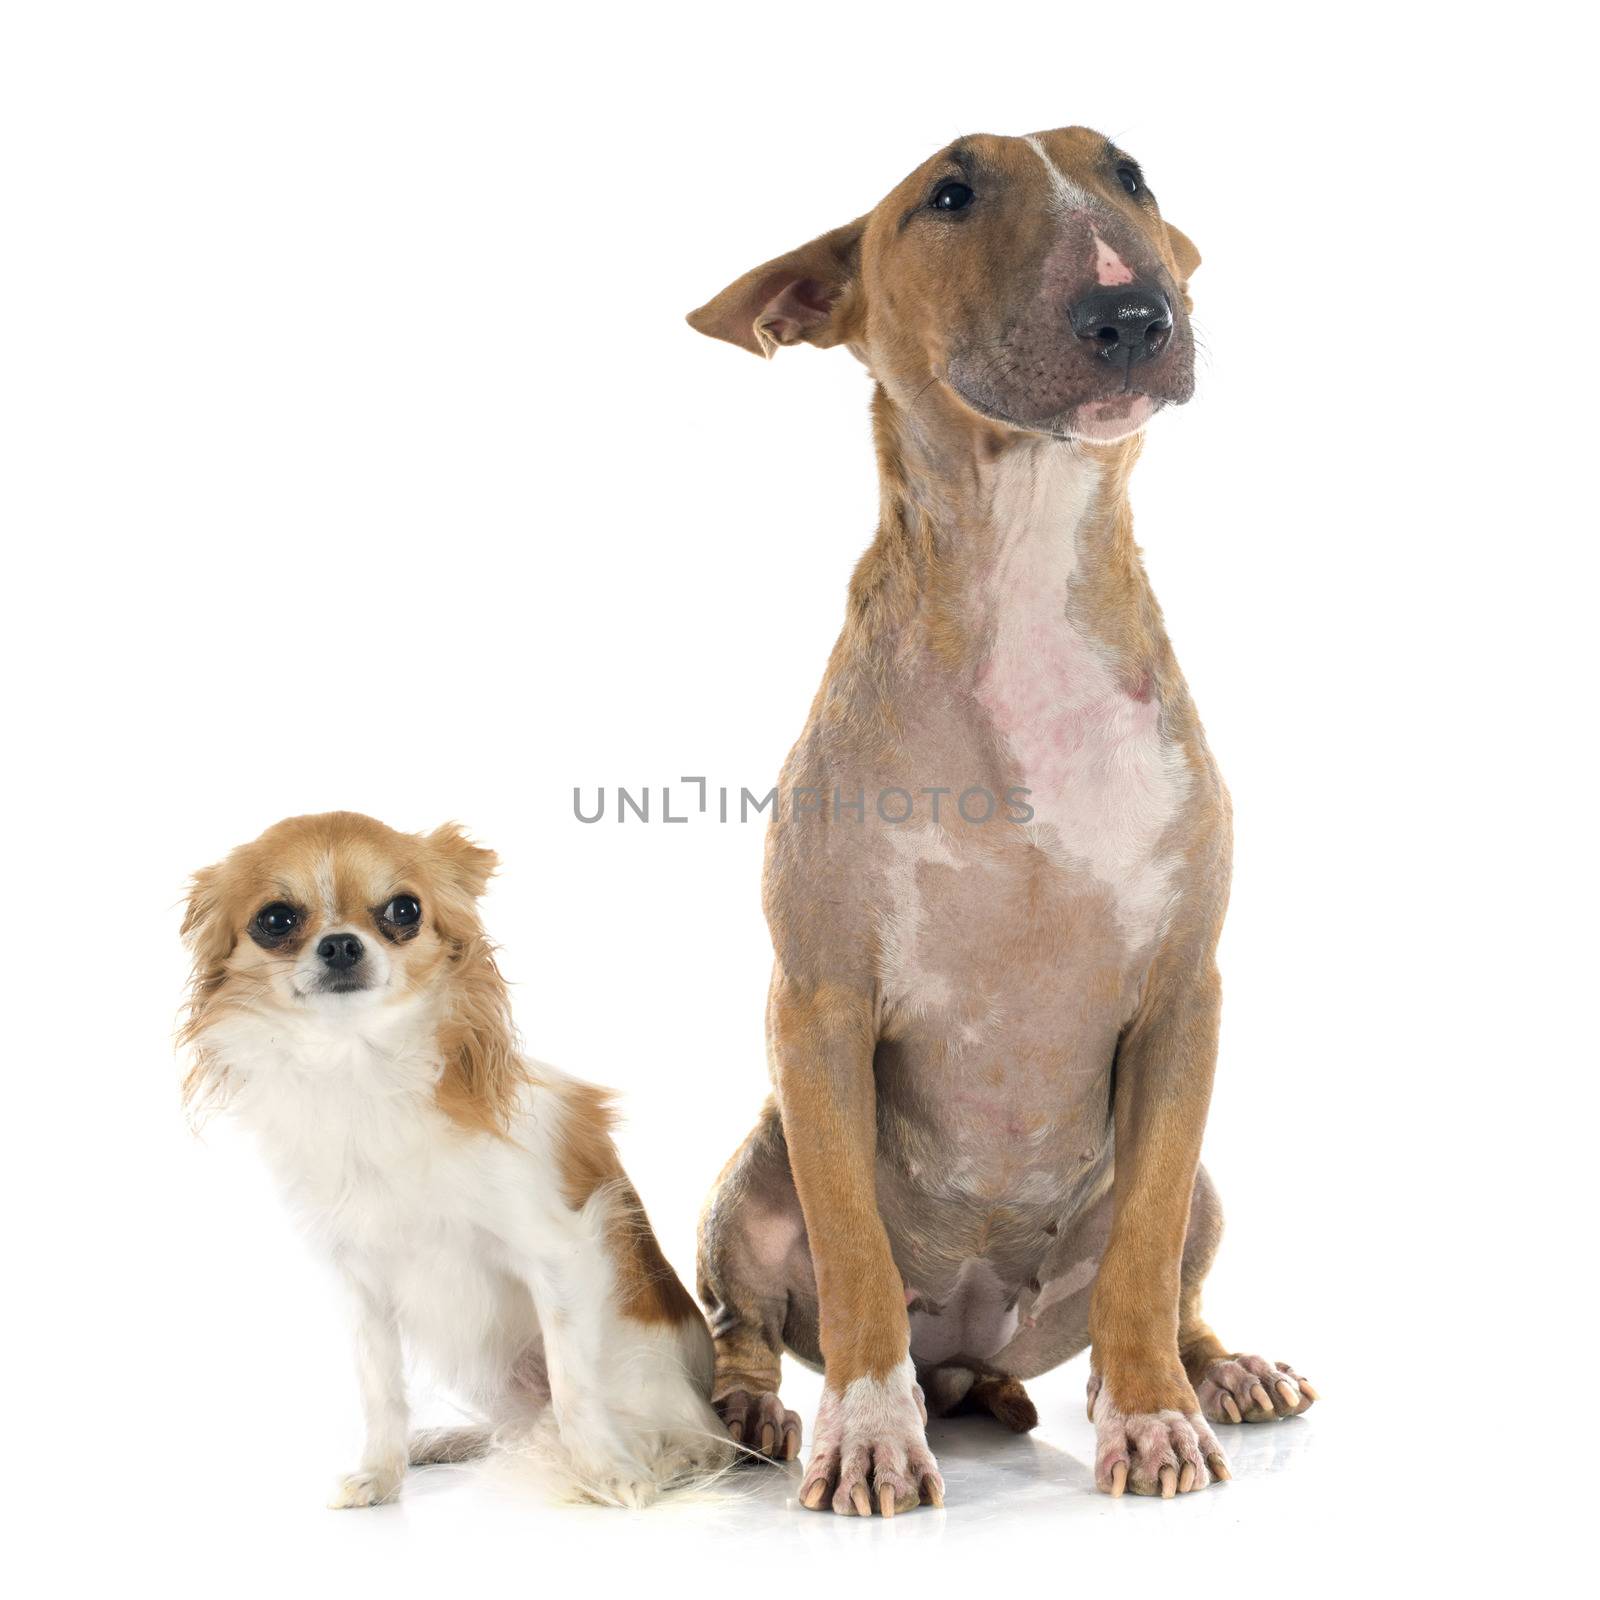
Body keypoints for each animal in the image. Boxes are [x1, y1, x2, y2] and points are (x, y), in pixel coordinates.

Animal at [181, 819, 732, 1504]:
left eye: (404, 910)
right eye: (276, 919)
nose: (340, 944)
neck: (362, 1068)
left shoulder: (558, 1257)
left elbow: (575, 1389)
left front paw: (609, 1471)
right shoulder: (361, 1283)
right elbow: (380, 1390)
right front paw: (380, 1473)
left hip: (633, 1363)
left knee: (695, 1435)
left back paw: (673, 1458)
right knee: (514, 1426)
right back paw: (446, 1442)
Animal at [694, 128, 1318, 1510]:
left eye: (1131, 174)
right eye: (948, 194)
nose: (1132, 315)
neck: (1024, 549)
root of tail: (972, 1347)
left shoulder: (1184, 998)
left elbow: (1142, 1254)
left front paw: (1151, 1416)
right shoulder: (815, 1005)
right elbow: (856, 1256)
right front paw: (867, 1437)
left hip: (1201, 1186)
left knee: (1175, 1278)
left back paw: (1219, 1372)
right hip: (750, 1170)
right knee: (746, 1319)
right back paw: (756, 1409)